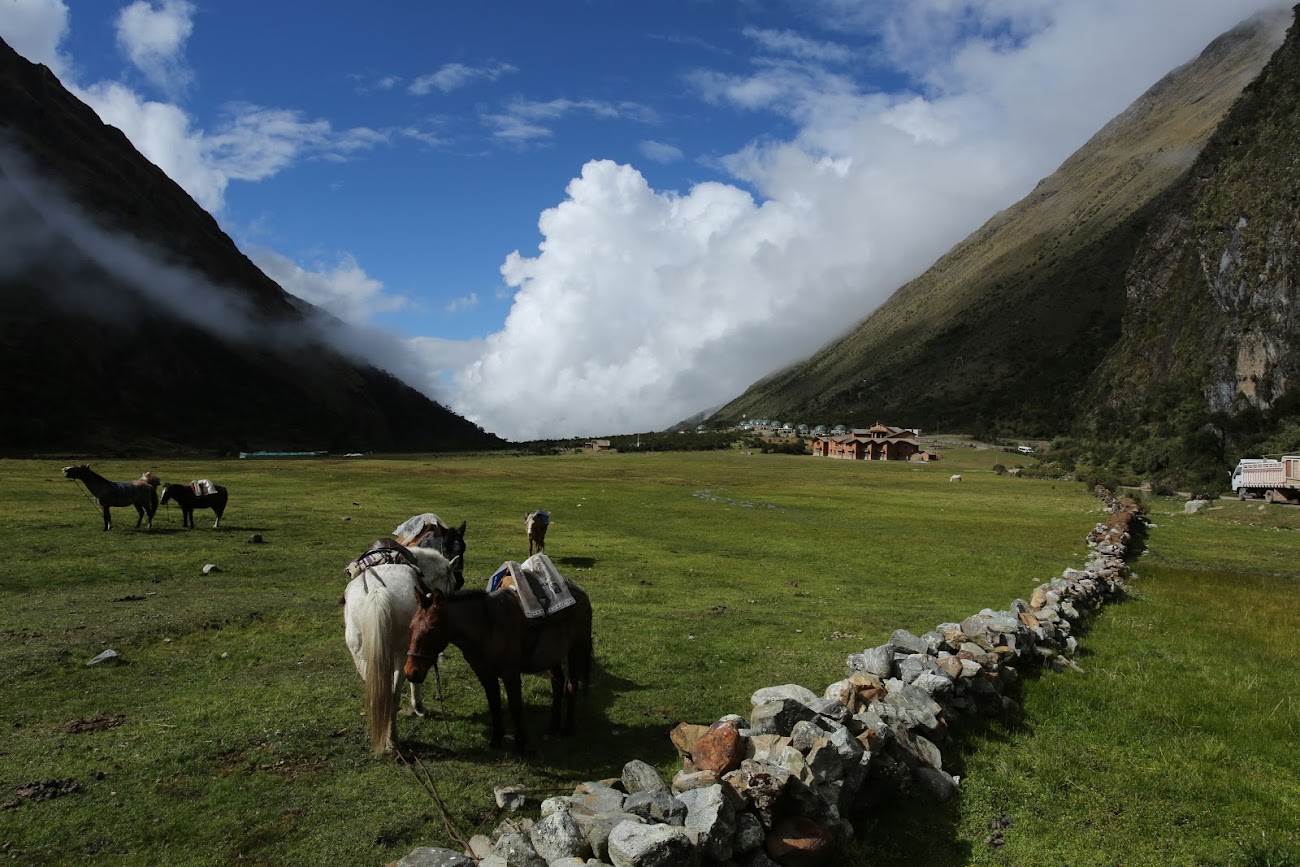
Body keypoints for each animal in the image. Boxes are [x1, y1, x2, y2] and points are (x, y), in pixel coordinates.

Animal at [340, 545, 462, 753]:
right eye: (452, 583)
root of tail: (376, 590)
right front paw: (419, 708)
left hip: (363, 659)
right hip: (400, 655)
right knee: (394, 694)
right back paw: (393, 740)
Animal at [403, 577, 592, 753]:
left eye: (431, 630)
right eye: (410, 626)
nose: (410, 672)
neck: (487, 628)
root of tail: (581, 592)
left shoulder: (511, 674)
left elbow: (515, 706)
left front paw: (521, 744)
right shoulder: (485, 674)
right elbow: (494, 704)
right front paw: (496, 740)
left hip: (577, 649)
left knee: (571, 685)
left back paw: (568, 728)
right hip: (550, 656)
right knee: (558, 682)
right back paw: (553, 728)